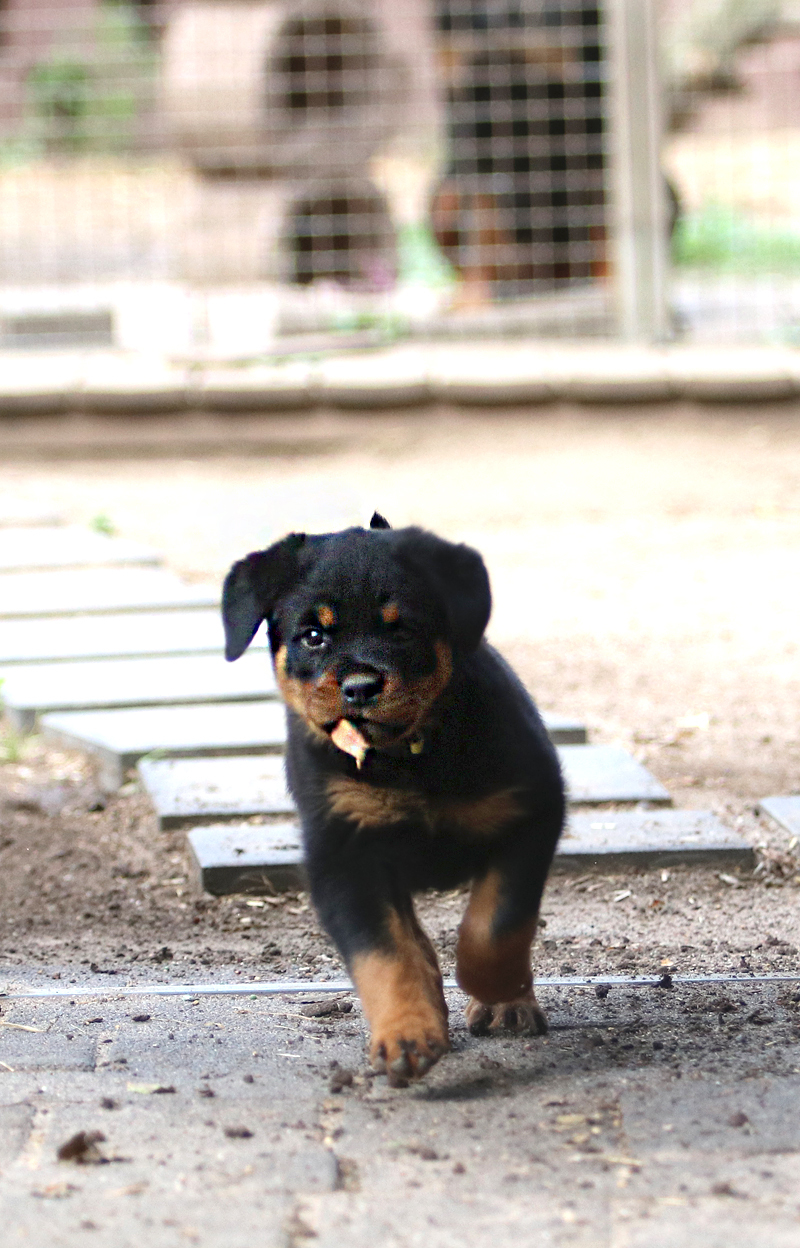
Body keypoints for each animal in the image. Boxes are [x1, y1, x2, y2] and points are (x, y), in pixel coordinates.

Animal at [222, 514, 565, 1085]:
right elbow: (384, 954)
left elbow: (495, 927)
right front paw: (407, 1034)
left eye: (400, 627)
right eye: (313, 636)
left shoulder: (531, 810)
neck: (409, 757)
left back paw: (510, 1006)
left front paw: (497, 992)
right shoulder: (344, 853)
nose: (361, 686)